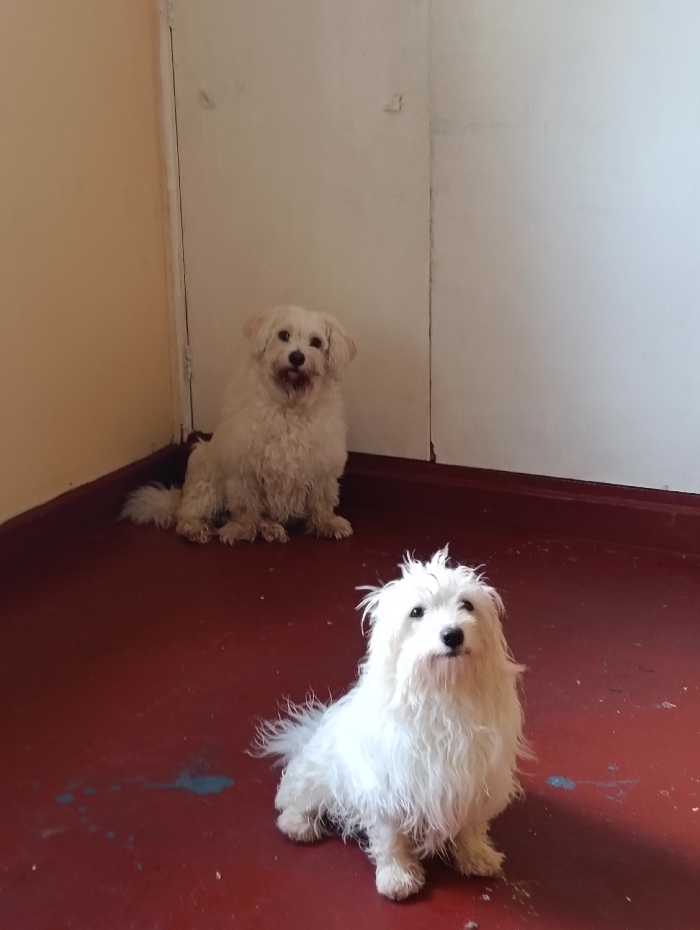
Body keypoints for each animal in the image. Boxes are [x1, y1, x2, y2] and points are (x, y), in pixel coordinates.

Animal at [123, 305, 356, 544]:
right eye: (283, 335)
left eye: (316, 342)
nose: (297, 357)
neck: (288, 405)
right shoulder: (244, 470)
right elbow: (246, 507)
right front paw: (241, 530)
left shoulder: (322, 468)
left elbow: (322, 502)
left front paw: (328, 524)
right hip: (208, 480)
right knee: (187, 513)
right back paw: (198, 529)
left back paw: (271, 528)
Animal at [257, 548, 528, 900]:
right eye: (417, 612)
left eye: (467, 605)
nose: (452, 634)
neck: (444, 693)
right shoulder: (387, 784)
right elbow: (391, 838)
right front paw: (396, 876)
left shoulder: (476, 777)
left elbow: (470, 826)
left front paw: (476, 856)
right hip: (317, 775)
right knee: (295, 798)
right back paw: (298, 824)